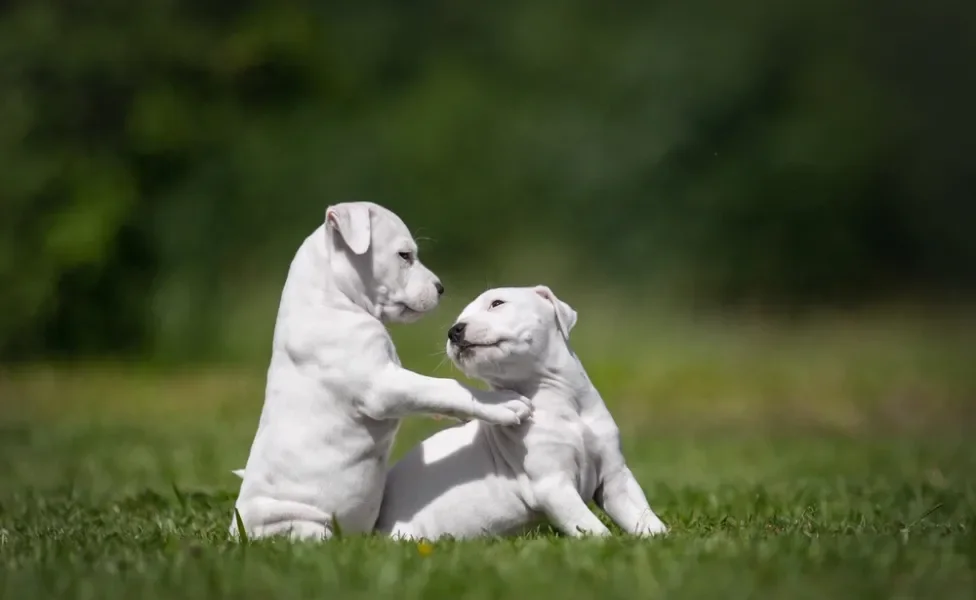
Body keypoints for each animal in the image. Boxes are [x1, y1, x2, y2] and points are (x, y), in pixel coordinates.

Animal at [230, 203, 532, 544]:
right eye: (404, 255)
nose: (440, 288)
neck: (330, 300)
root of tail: (236, 533)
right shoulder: (382, 387)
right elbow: (446, 387)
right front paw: (503, 405)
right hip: (298, 523)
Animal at [370, 284, 668, 540]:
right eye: (458, 321)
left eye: (497, 303)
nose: (454, 331)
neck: (563, 407)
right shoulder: (552, 485)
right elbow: (590, 527)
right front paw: (606, 542)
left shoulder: (616, 477)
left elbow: (641, 513)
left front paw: (661, 537)